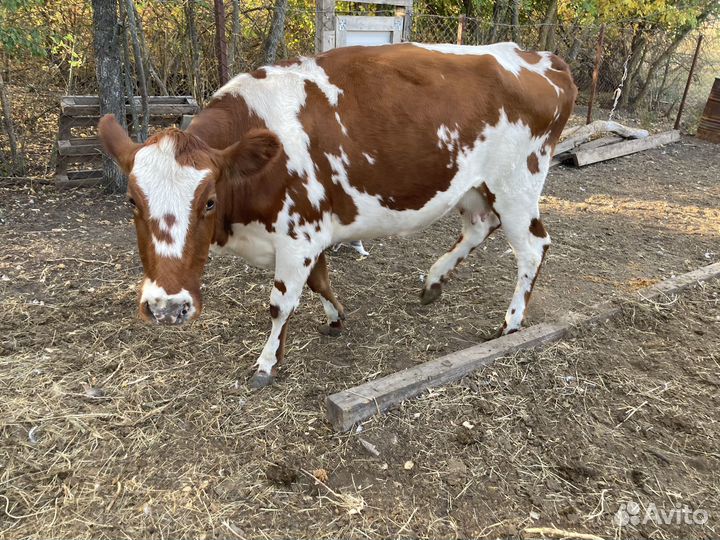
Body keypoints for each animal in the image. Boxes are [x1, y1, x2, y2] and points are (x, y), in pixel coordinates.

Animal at [98, 42, 577, 388]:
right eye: (133, 202)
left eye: (209, 201)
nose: (167, 307)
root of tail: (539, 57)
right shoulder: (311, 231)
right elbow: (320, 281)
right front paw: (335, 318)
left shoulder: (298, 234)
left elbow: (281, 303)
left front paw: (266, 363)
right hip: (474, 186)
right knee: (478, 227)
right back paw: (433, 282)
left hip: (517, 184)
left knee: (533, 248)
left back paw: (510, 323)